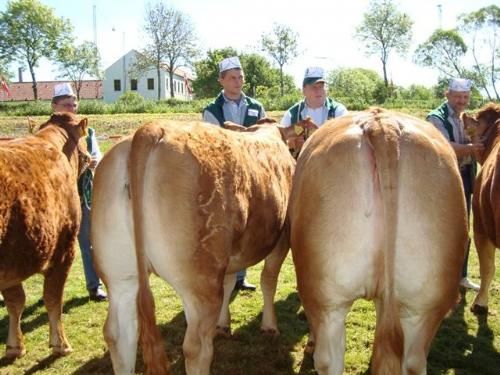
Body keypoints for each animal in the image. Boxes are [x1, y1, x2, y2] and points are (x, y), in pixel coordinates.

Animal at [0, 113, 90, 360]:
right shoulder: (64, 249)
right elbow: (52, 297)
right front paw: (61, 344)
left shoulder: (12, 260)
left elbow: (15, 301)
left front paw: (14, 346)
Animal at [91, 120, 308, 375]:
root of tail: (151, 128)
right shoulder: (282, 237)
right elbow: (268, 280)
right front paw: (270, 326)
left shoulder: (229, 255)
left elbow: (230, 282)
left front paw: (224, 325)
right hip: (201, 283)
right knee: (196, 347)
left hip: (120, 278)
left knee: (119, 335)